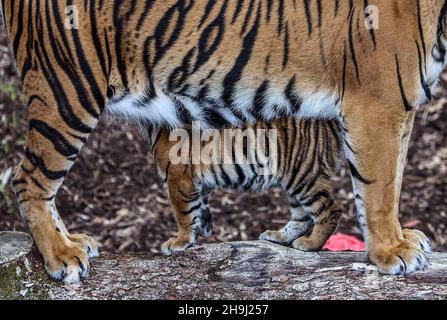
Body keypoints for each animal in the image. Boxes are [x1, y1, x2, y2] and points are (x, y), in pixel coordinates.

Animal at [0, 1, 440, 284]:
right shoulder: (380, 102)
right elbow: (380, 188)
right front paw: (393, 251)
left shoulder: (393, 106)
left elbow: (389, 185)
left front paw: (397, 243)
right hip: (67, 85)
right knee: (28, 179)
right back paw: (62, 255)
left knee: (320, 209)